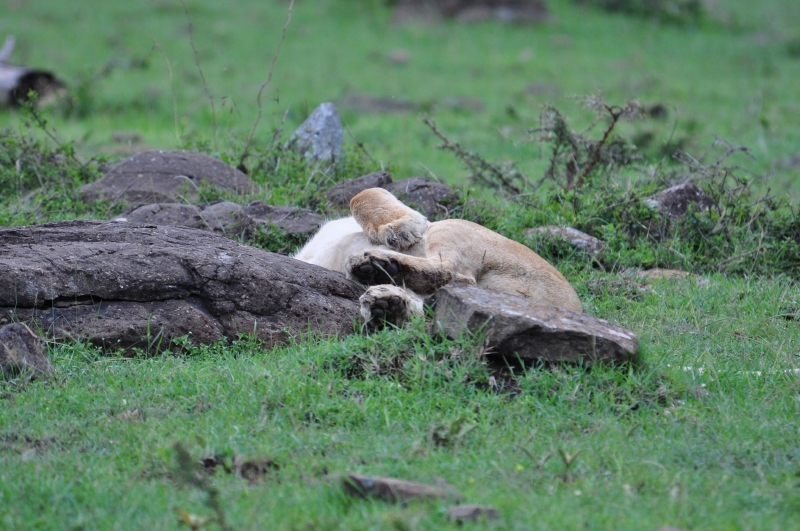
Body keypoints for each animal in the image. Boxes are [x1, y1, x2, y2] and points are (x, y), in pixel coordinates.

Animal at [295, 187, 582, 328]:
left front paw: (402, 229)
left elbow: (362, 195)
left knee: (452, 271)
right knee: (447, 285)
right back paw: (385, 300)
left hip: (452, 226)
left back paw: (376, 265)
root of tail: (572, 308)